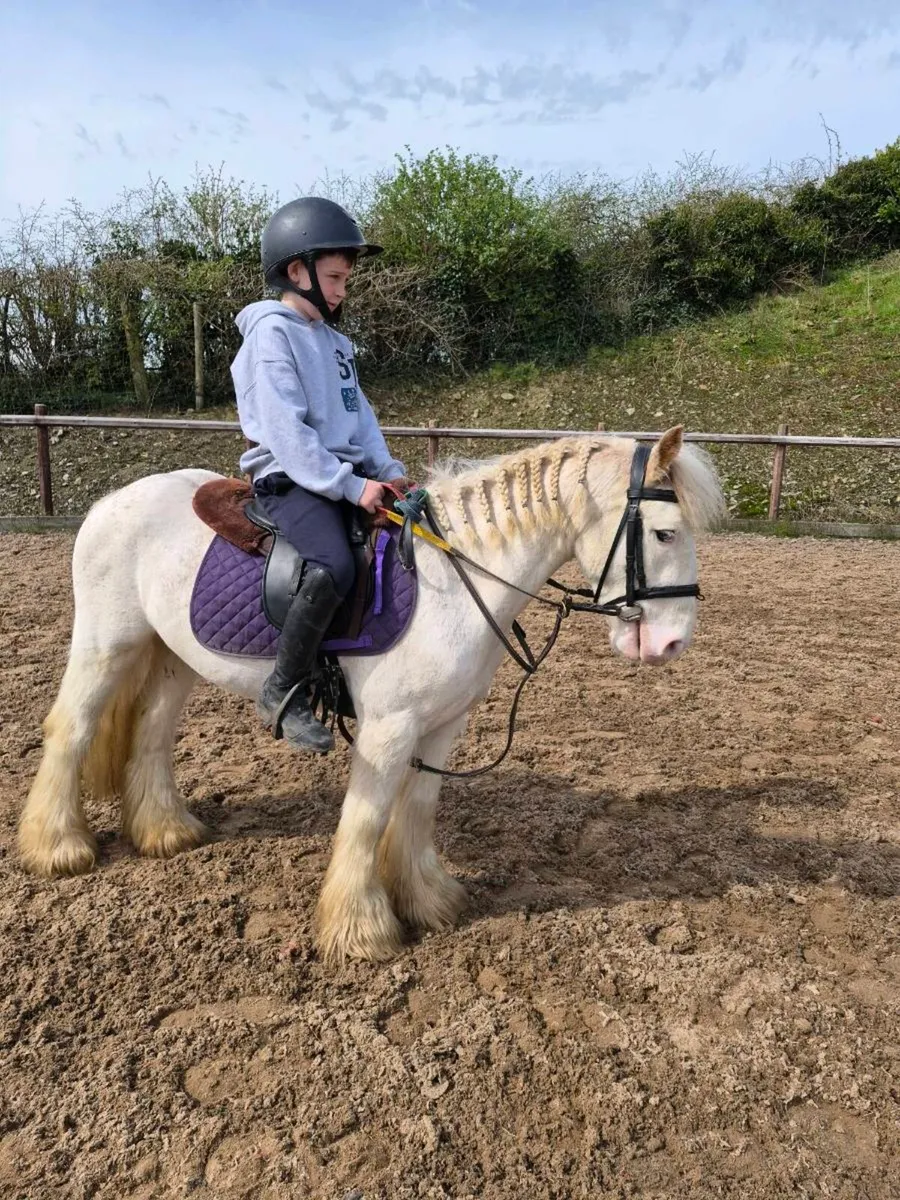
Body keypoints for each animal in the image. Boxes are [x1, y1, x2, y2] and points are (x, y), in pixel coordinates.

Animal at [18, 426, 724, 963]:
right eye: (665, 533)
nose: (670, 644)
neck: (454, 577)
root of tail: (113, 500)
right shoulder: (389, 726)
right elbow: (366, 817)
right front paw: (361, 931)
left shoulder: (442, 725)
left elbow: (416, 810)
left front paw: (431, 901)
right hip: (107, 642)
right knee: (71, 727)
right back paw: (57, 846)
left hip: (172, 657)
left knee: (152, 734)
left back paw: (165, 831)